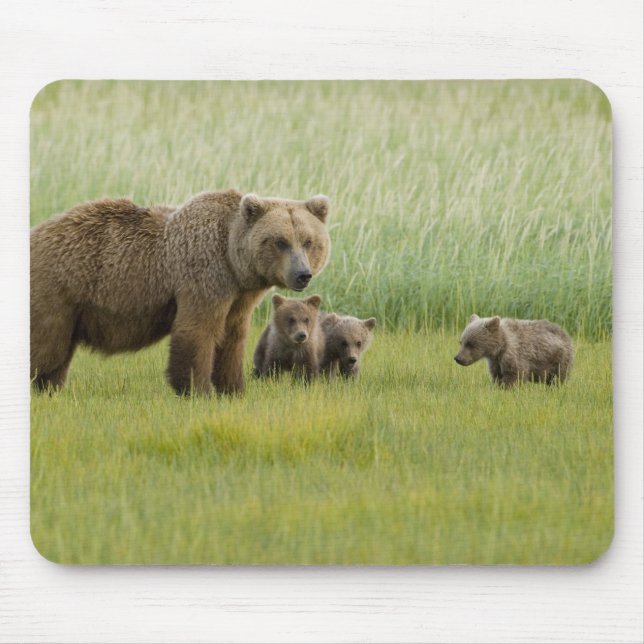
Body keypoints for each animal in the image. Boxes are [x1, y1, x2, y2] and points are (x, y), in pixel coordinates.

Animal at [30, 190, 331, 395]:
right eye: (280, 241)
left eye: (308, 241)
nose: (302, 274)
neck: (232, 261)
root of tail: (36, 231)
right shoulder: (203, 275)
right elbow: (198, 331)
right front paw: (196, 390)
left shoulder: (239, 297)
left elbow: (232, 338)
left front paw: (232, 388)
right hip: (58, 288)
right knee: (46, 344)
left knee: (58, 353)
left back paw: (50, 388)